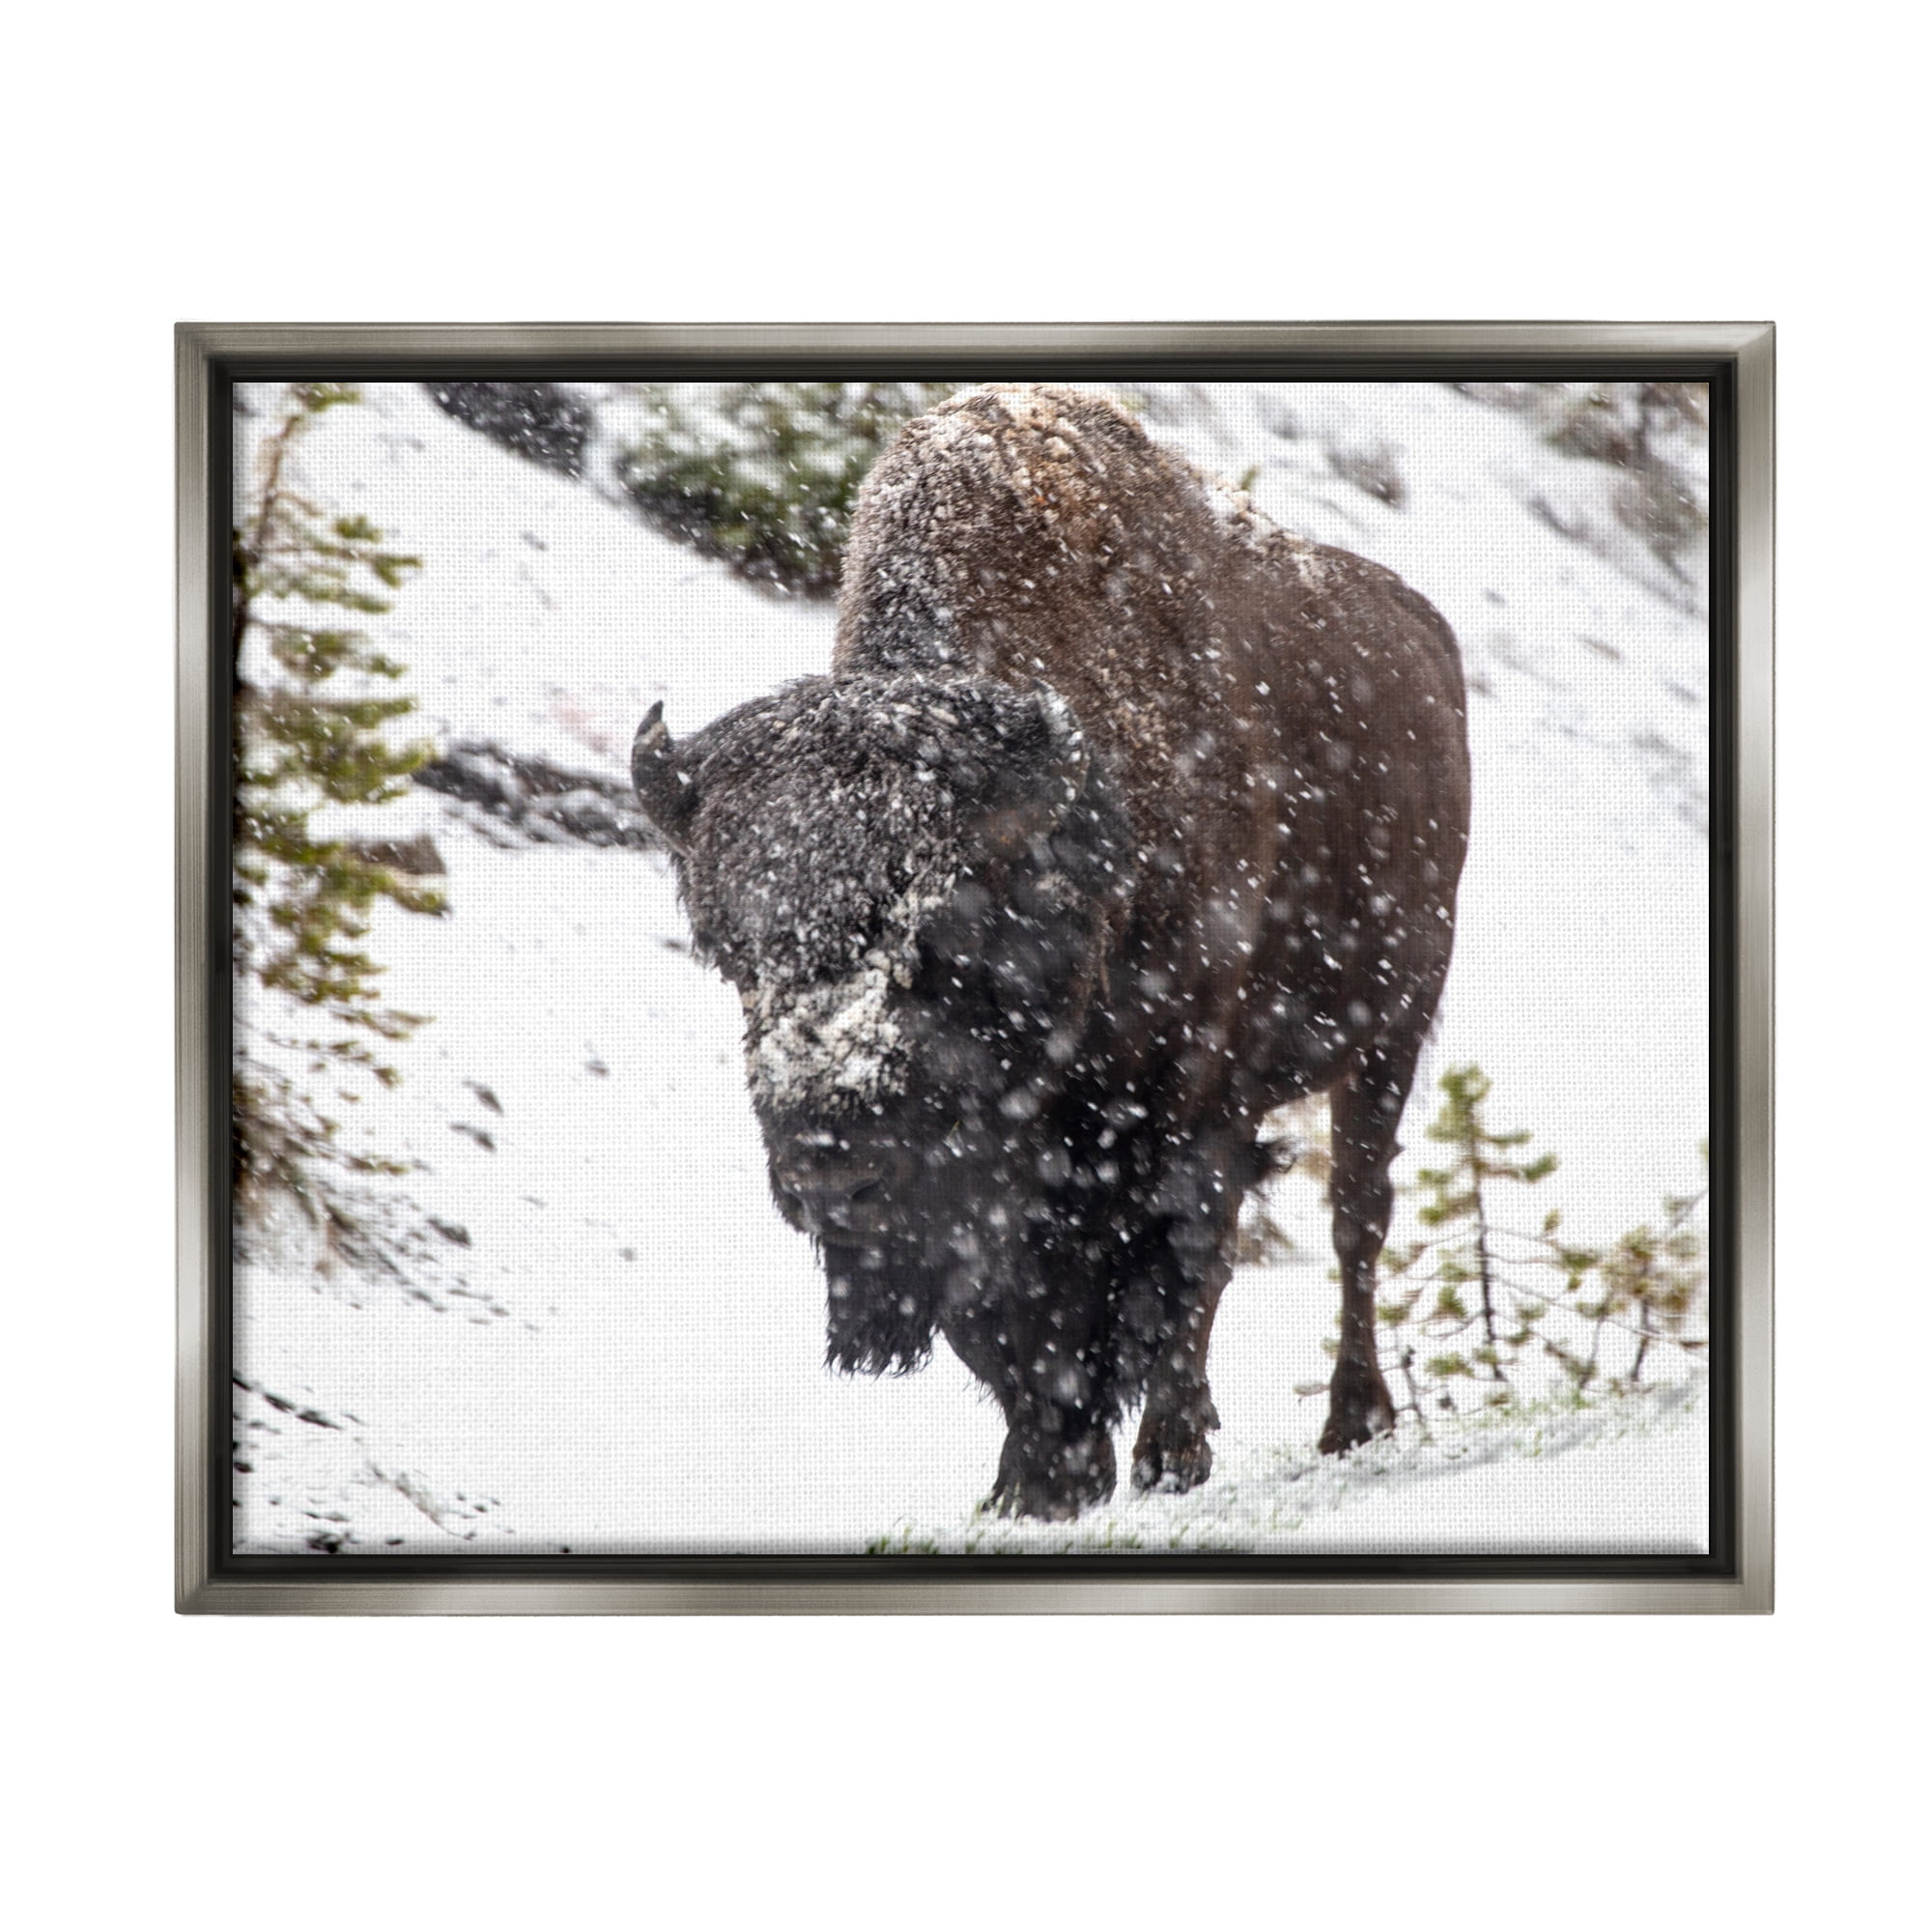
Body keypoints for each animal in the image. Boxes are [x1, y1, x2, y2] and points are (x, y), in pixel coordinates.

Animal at [632, 385, 1470, 1519]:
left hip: (1388, 1034)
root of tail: (1424, 637)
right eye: (729, 953)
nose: (827, 1172)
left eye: (939, 943)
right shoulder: (992, 1187)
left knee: (1351, 1220)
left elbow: (1171, 1264)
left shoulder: (1183, 1107)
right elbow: (1005, 1323)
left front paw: (1150, 1459)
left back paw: (1340, 1424)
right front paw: (1032, 1481)